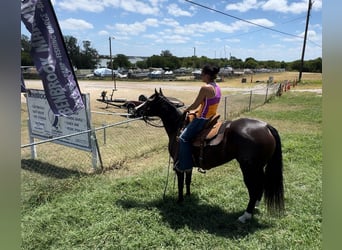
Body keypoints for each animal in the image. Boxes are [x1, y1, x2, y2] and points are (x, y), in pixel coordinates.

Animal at [135, 89, 284, 223]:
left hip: (249, 169)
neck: (178, 127)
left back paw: (245, 215)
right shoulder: (188, 165)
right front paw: (188, 196)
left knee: (254, 188)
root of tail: (266, 127)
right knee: (261, 185)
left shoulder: (179, 166)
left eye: (149, 101)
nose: (135, 110)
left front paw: (180, 201)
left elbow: (180, 184)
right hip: (259, 168)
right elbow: (188, 181)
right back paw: (256, 207)